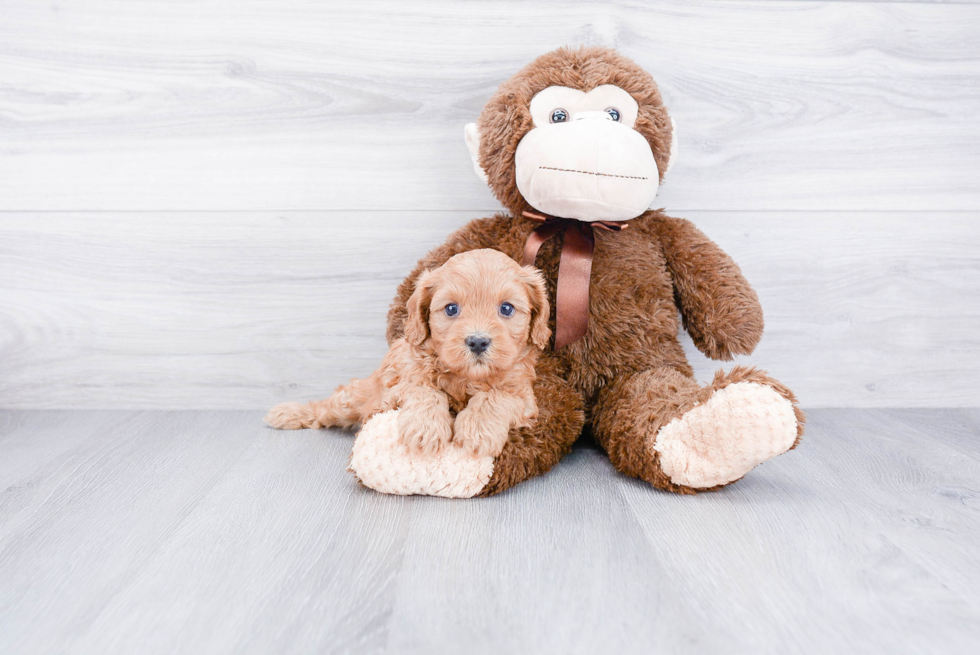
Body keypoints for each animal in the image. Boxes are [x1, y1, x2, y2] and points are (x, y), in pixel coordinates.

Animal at [262, 249, 552, 458]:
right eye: (451, 309)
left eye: (506, 308)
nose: (478, 342)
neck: (465, 378)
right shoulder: (397, 387)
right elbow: (425, 390)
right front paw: (426, 428)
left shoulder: (524, 398)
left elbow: (496, 397)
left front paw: (478, 430)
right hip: (352, 399)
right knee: (326, 407)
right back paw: (288, 413)